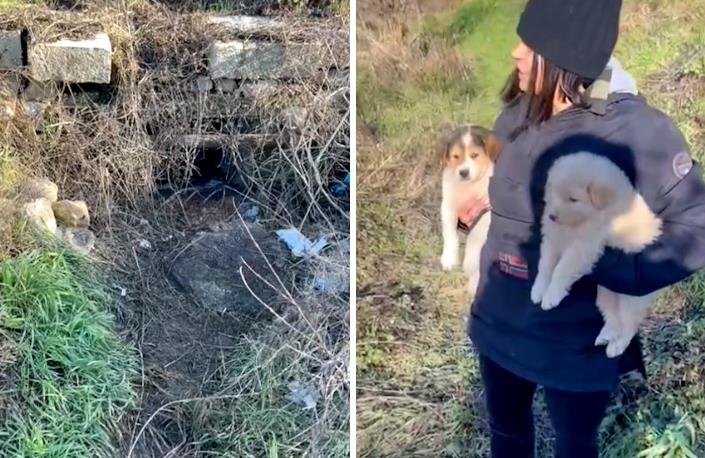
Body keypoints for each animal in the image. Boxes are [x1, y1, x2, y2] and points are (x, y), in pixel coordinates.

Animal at [440, 125, 500, 296]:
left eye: (474, 155)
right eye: (455, 156)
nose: (463, 172)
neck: (467, 187)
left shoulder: (485, 212)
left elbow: (475, 239)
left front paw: (469, 264)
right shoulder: (447, 208)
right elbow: (450, 235)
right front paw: (449, 259)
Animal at [532, 152, 664, 360]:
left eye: (573, 199)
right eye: (554, 192)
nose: (552, 216)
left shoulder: (584, 246)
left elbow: (562, 268)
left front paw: (551, 296)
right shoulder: (553, 238)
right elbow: (545, 265)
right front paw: (538, 290)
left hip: (631, 297)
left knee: (629, 323)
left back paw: (616, 346)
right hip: (605, 293)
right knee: (612, 316)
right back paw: (606, 335)